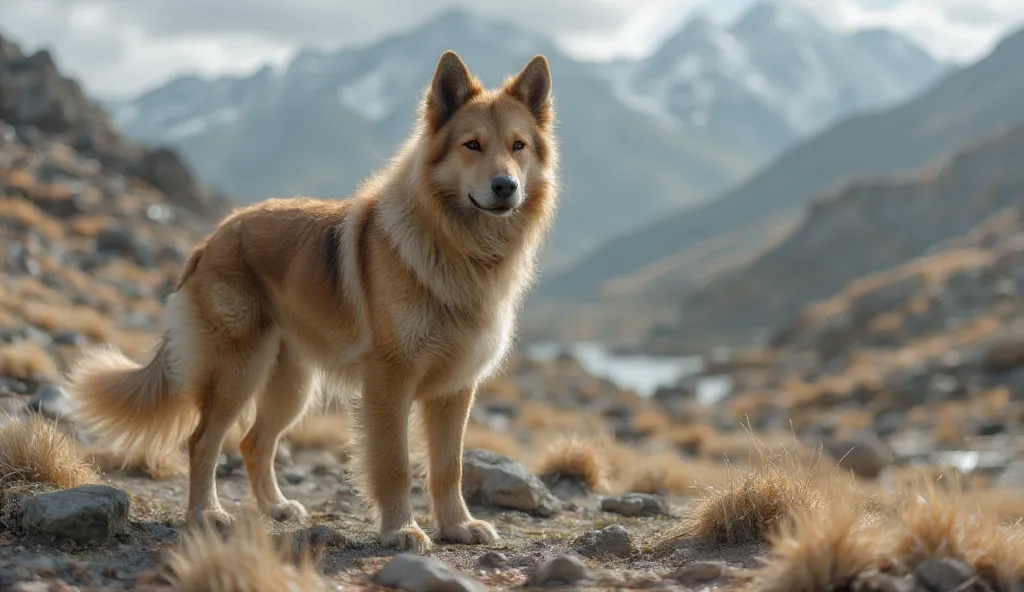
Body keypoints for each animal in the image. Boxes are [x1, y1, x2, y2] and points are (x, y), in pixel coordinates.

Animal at [66, 51, 561, 553]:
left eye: (518, 146)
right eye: (472, 145)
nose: (505, 186)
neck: (457, 246)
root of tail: (214, 237)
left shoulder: (455, 389)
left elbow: (449, 466)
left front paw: (458, 525)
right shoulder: (389, 381)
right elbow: (395, 464)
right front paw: (400, 529)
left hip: (291, 385)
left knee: (254, 443)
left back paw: (275, 507)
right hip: (236, 372)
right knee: (202, 440)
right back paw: (207, 513)